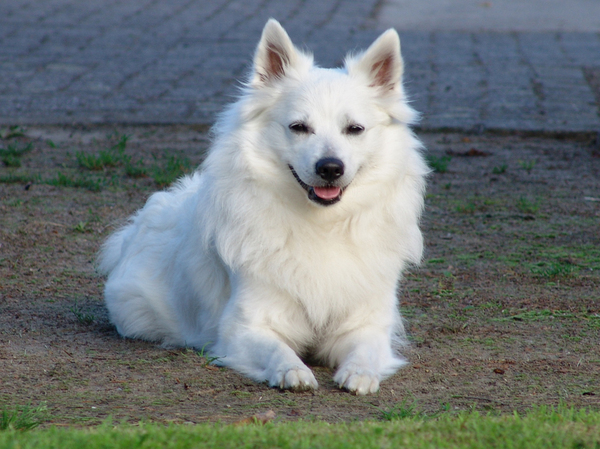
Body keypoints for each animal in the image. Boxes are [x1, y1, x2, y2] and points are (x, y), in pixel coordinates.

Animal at [99, 19, 426, 394]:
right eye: (299, 127)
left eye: (354, 129)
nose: (330, 167)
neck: (323, 224)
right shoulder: (245, 326)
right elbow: (275, 349)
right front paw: (291, 370)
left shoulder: (365, 323)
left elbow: (366, 349)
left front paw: (360, 372)